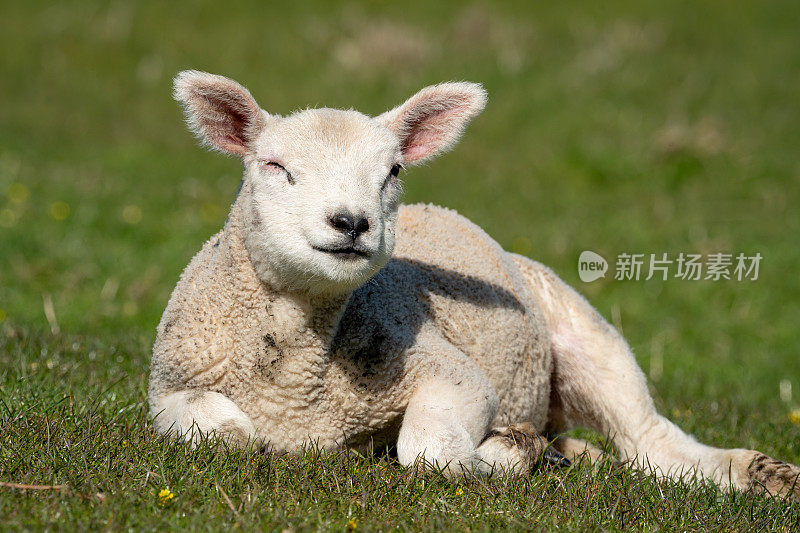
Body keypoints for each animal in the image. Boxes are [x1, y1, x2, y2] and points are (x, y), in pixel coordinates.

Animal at [150, 70, 800, 498]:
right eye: (274, 166)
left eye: (393, 171)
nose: (351, 222)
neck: (292, 380)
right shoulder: (169, 389)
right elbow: (228, 433)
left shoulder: (449, 370)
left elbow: (432, 454)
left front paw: (503, 454)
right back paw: (572, 455)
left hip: (585, 333)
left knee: (651, 441)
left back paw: (762, 475)